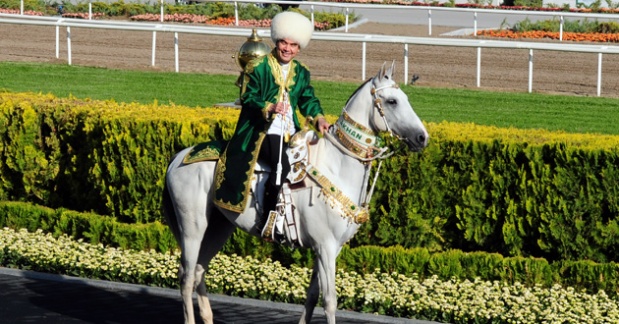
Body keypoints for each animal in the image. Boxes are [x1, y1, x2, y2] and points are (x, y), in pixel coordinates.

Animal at [162, 61, 428, 324]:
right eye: (392, 101)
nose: (422, 137)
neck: (336, 166)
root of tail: (180, 156)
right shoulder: (325, 247)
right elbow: (330, 301)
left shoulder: (329, 249)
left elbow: (312, 296)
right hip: (193, 228)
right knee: (186, 277)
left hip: (219, 227)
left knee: (199, 271)